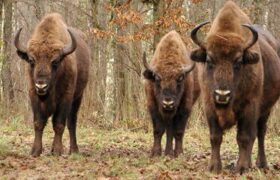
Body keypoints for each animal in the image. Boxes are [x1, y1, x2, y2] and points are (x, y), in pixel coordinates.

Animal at [13, 13, 89, 156]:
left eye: (55, 61)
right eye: (31, 60)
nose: (41, 86)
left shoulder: (66, 97)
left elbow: (59, 124)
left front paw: (58, 151)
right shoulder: (33, 95)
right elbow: (38, 123)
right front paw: (35, 151)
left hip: (78, 97)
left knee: (72, 122)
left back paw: (74, 150)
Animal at [190, 0, 280, 174]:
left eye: (238, 62)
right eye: (209, 61)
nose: (222, 95)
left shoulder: (250, 107)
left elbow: (244, 137)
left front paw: (242, 168)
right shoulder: (209, 105)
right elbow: (215, 136)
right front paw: (214, 167)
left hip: (266, 109)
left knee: (260, 132)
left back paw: (261, 164)